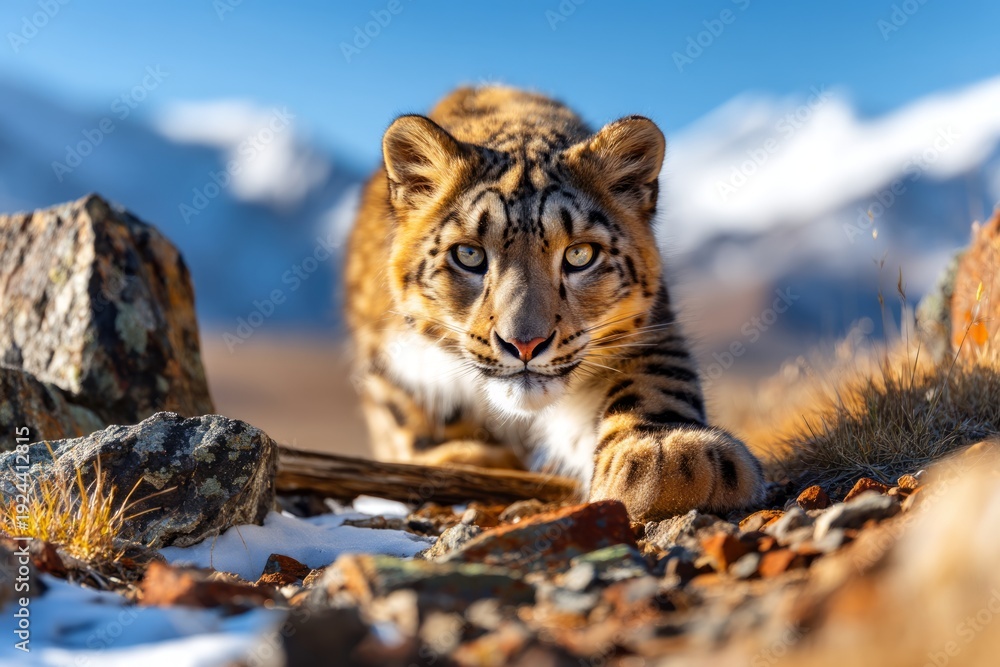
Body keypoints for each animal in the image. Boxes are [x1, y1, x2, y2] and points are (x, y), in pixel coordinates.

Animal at [344, 85, 764, 521]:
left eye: (580, 254)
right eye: (468, 254)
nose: (524, 344)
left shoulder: (651, 324)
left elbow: (656, 377)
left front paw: (669, 455)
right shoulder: (391, 357)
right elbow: (408, 406)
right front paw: (461, 454)